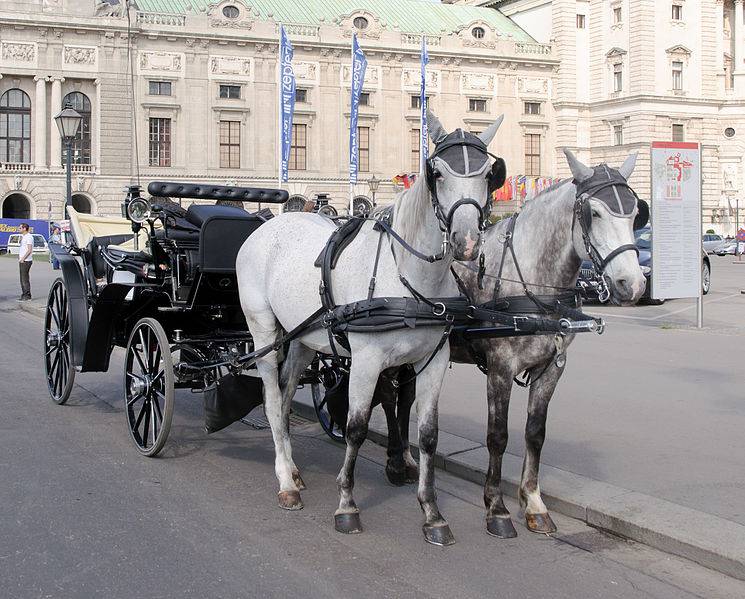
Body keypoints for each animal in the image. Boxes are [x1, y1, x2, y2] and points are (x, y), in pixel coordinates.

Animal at [237, 110, 506, 548]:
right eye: (437, 173)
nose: (466, 242)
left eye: (489, 174)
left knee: (286, 391)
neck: (410, 279)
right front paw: (347, 506)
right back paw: (285, 483)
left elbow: (427, 434)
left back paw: (291, 468)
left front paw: (432, 513)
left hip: (303, 338)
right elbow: (356, 428)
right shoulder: (366, 362)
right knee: (271, 397)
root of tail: (267, 226)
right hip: (263, 330)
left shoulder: (433, 362)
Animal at [378, 149, 644, 540]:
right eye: (594, 213)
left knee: (405, 400)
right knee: (386, 398)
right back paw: (395, 462)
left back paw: (409, 460)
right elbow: (498, 436)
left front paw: (533, 503)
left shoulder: (552, 369)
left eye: (636, 212)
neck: (533, 285)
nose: (633, 284)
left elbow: (535, 434)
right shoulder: (501, 369)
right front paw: (497, 508)